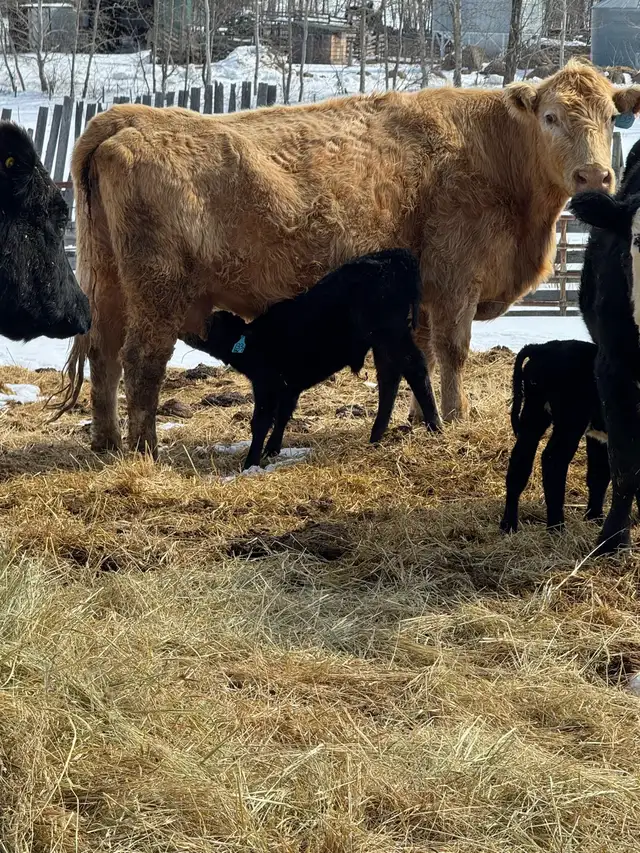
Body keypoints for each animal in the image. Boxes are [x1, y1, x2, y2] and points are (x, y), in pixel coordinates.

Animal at [182, 249, 441, 469]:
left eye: (212, 324)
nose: (187, 330)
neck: (255, 342)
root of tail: (397, 255)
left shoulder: (266, 384)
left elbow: (261, 421)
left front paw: (251, 462)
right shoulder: (289, 386)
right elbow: (283, 415)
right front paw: (272, 450)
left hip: (392, 334)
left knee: (414, 368)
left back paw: (435, 427)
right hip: (384, 341)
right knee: (390, 377)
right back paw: (376, 436)